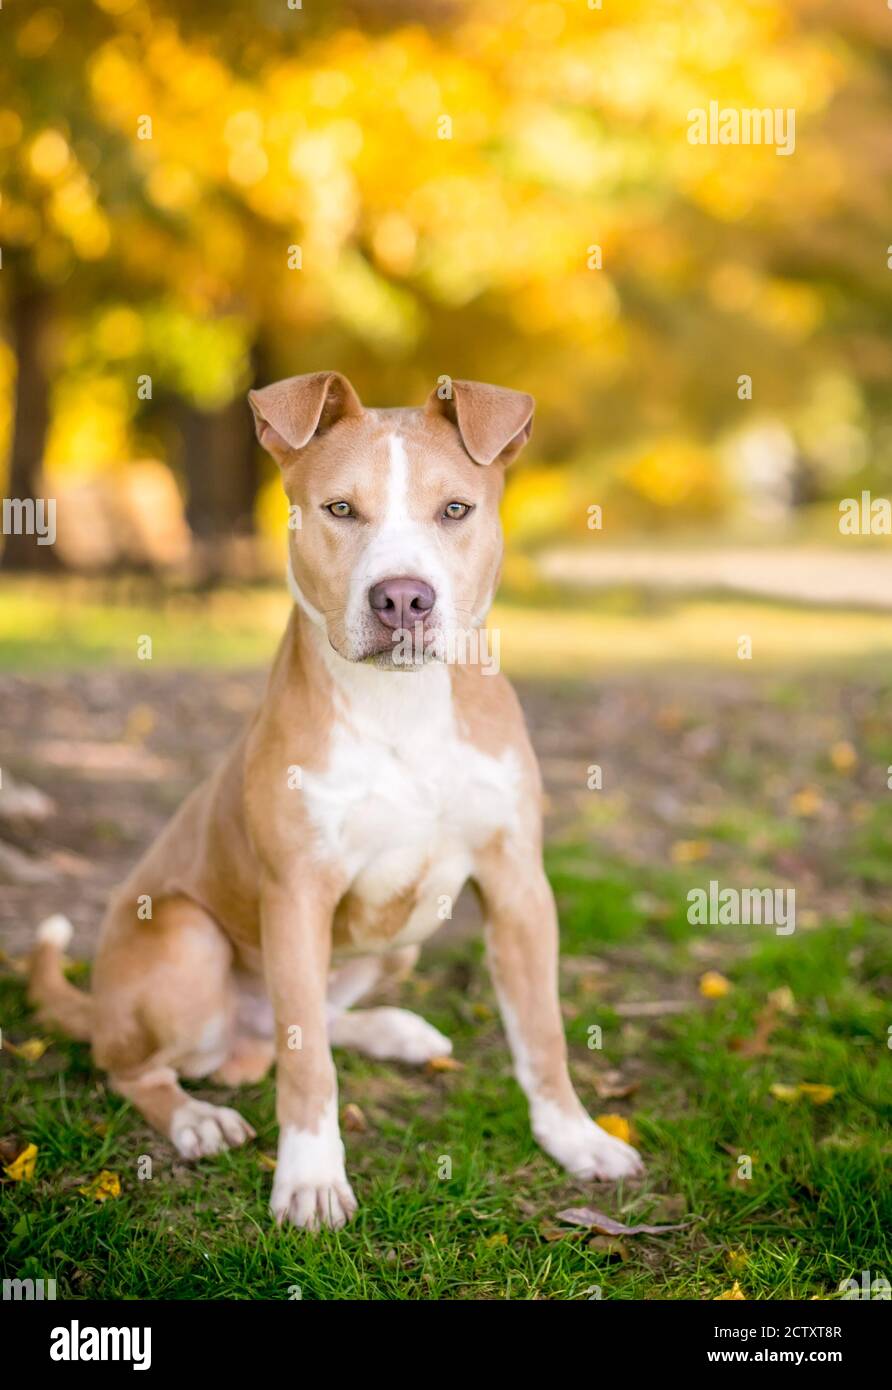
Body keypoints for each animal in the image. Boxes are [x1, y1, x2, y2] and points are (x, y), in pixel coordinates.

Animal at [27, 369, 639, 1228]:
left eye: (456, 510)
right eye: (340, 509)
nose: (404, 599)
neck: (402, 705)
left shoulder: (519, 884)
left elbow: (542, 1032)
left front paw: (574, 1137)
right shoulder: (296, 895)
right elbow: (307, 1063)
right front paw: (312, 1179)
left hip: (402, 935)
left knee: (319, 1015)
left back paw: (394, 1031)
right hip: (186, 941)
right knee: (140, 1063)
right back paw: (194, 1117)